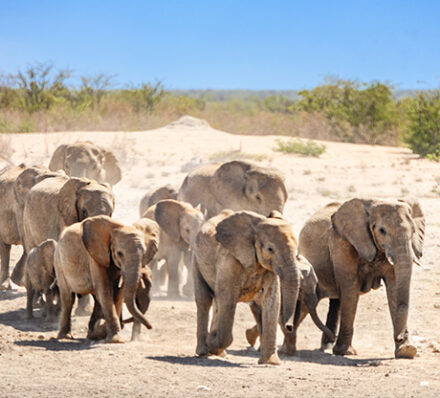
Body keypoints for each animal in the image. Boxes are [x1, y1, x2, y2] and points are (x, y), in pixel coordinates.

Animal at [192, 210, 300, 366]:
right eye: (270, 249)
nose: (289, 327)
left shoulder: (268, 269)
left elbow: (272, 300)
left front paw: (271, 363)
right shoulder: (229, 261)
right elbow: (227, 299)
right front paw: (211, 343)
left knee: (217, 303)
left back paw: (220, 353)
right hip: (196, 259)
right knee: (204, 300)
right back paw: (204, 351)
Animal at [298, 197, 424, 360]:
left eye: (414, 231)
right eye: (382, 231)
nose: (399, 337)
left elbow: (395, 288)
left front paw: (406, 350)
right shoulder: (342, 243)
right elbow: (350, 289)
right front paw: (345, 352)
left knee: (335, 301)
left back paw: (327, 346)